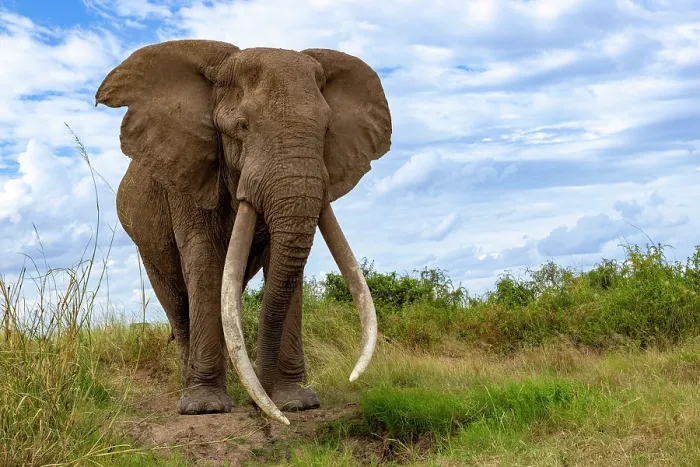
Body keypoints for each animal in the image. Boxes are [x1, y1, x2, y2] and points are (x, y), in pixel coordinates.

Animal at [95, 39, 391, 425]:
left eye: (327, 129)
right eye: (242, 126)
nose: (263, 408)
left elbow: (283, 268)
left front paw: (296, 402)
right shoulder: (188, 173)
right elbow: (204, 262)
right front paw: (206, 408)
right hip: (147, 241)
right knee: (177, 302)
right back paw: (190, 390)